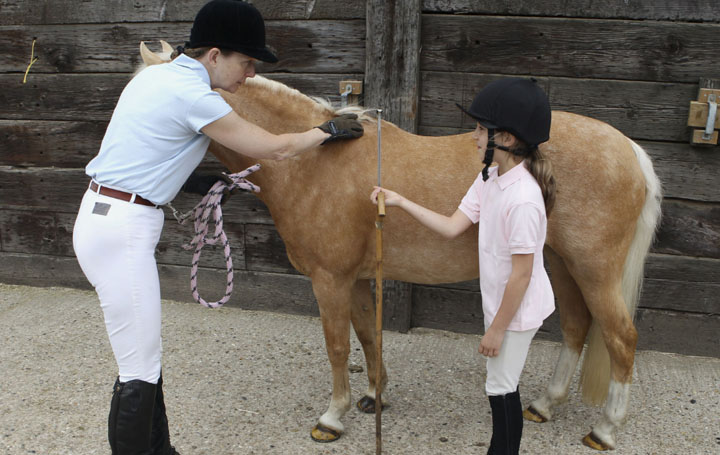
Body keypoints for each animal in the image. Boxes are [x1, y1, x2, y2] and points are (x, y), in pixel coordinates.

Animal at [142, 43, 664, 452]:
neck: (313, 162)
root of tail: (630, 150)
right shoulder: (354, 280)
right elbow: (368, 338)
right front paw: (376, 396)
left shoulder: (330, 280)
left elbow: (337, 346)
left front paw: (332, 417)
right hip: (559, 261)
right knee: (576, 325)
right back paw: (545, 404)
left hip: (593, 267)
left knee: (621, 337)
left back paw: (605, 429)